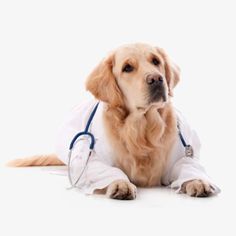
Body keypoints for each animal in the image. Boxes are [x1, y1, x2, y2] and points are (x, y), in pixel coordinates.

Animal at [8, 42, 217, 199]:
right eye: (127, 68)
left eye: (155, 61)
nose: (157, 79)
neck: (142, 128)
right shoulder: (90, 161)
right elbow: (107, 170)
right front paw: (120, 183)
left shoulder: (182, 156)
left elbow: (188, 166)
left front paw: (198, 181)